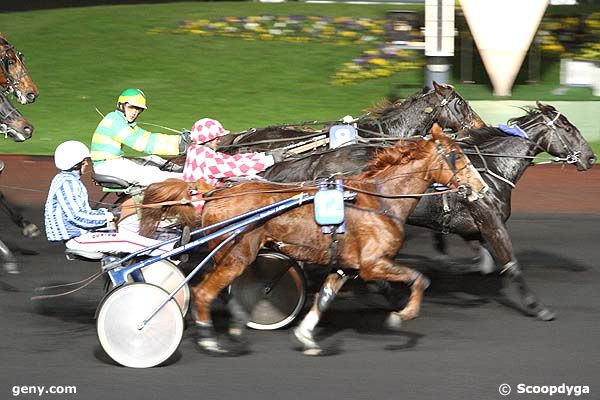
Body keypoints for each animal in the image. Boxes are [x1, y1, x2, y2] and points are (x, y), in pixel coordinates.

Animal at [142, 123, 492, 354]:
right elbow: (420, 279)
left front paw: (306, 337)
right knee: (202, 293)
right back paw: (208, 338)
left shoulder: (345, 267)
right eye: (457, 157)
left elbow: (323, 299)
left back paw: (237, 324)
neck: (379, 198)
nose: (481, 187)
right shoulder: (373, 264)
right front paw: (401, 315)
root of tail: (211, 194)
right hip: (236, 254)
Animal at [262, 103, 596, 322]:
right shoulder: (491, 222)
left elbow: (480, 255)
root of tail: (317, 161)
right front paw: (538, 308)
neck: (488, 168)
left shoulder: (473, 225)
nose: (591, 157)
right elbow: (511, 264)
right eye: (567, 127)